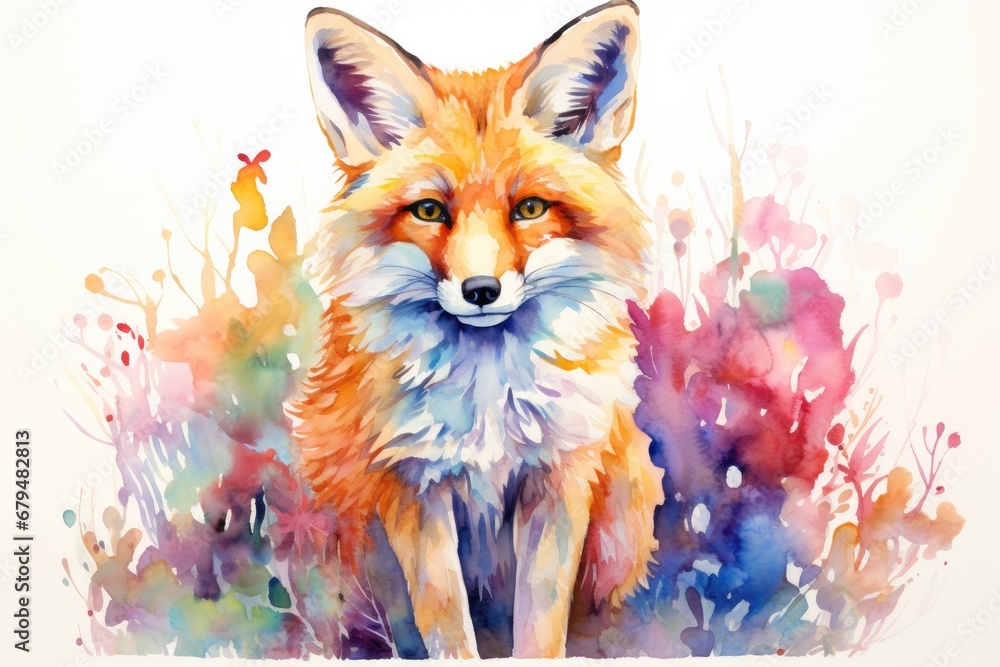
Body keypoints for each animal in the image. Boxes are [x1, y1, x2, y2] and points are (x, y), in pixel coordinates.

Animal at [292, 0, 664, 658]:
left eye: (530, 209)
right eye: (430, 211)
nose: (481, 291)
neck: (490, 394)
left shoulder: (558, 480)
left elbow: (541, 621)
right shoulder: (412, 487)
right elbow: (445, 619)